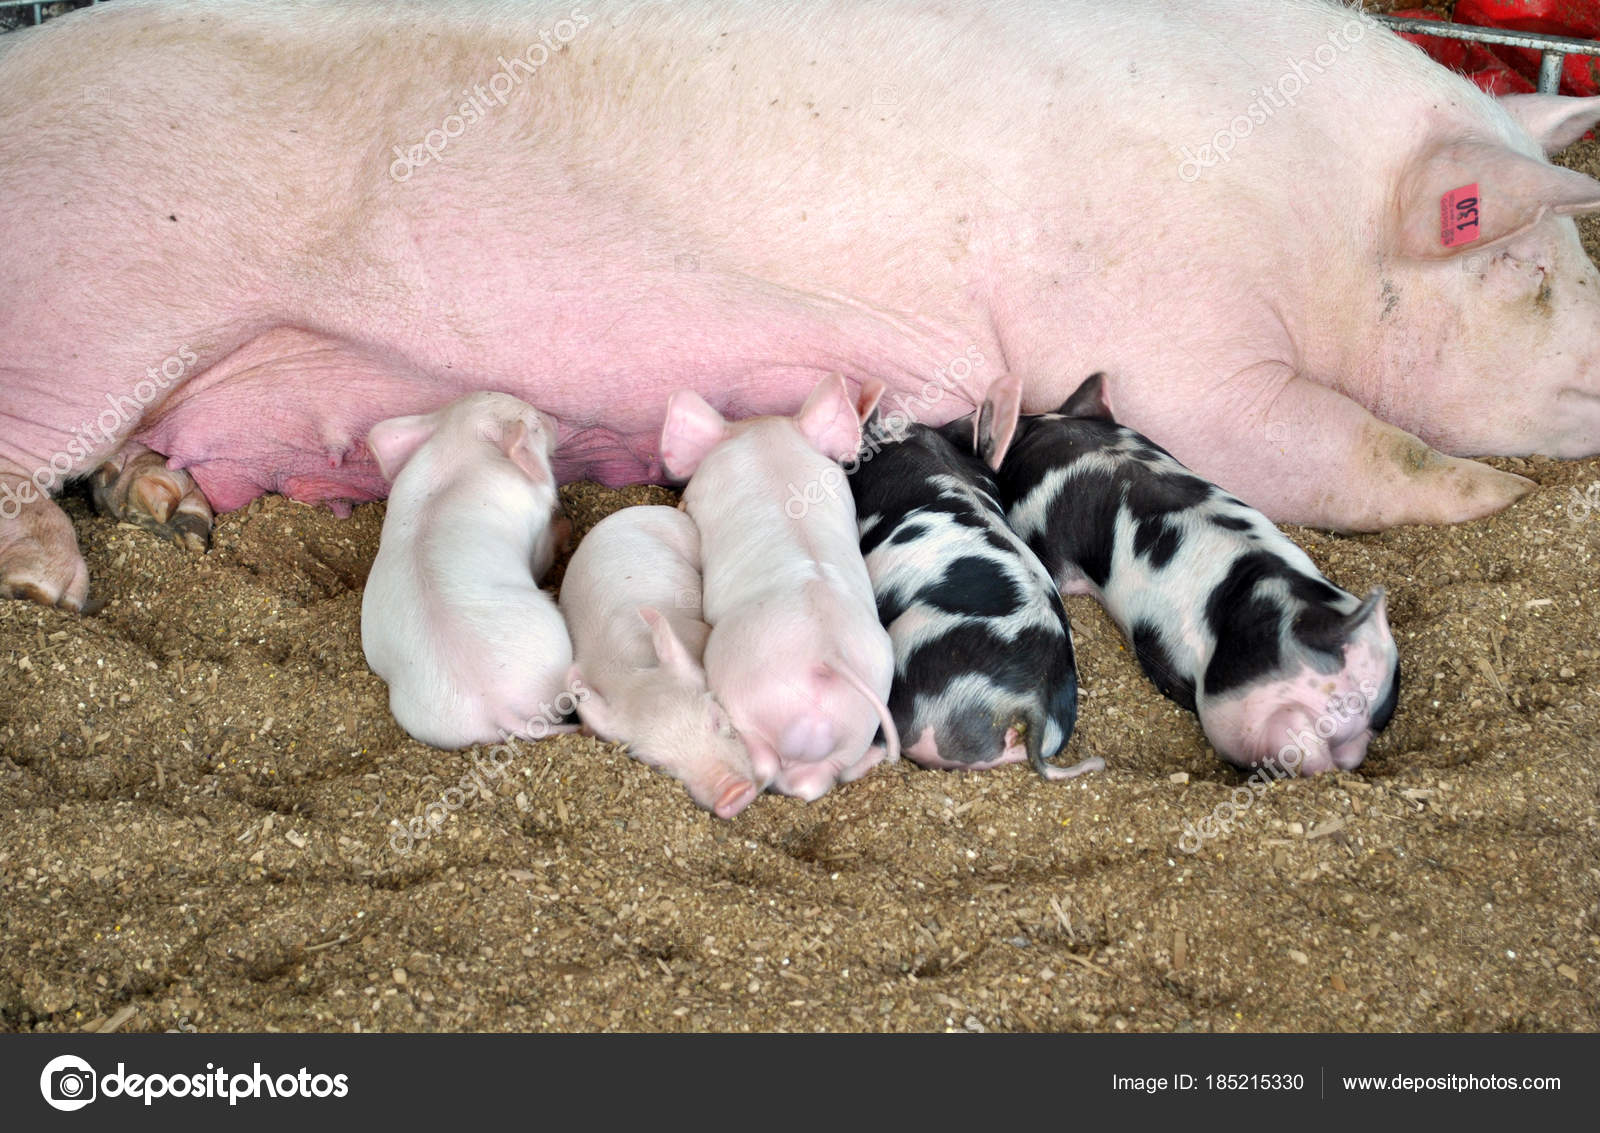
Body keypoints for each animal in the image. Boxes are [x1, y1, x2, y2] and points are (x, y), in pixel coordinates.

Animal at [8, 0, 1600, 613]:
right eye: (1533, 272)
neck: (1305, 209)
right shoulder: (1166, 335)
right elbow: (1323, 447)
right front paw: (1494, 502)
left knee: (131, 457)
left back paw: (173, 512)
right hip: (97, 287)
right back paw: (56, 581)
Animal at [360, 392, 573, 750]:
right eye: (534, 424)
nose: (557, 420)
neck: (459, 448)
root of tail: (495, 704)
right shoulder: (536, 526)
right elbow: (542, 552)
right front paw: (564, 526)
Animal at [659, 373, 900, 801]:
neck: (767, 443)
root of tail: (827, 657)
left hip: (744, 701)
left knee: (767, 764)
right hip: (857, 725)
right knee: (816, 781)